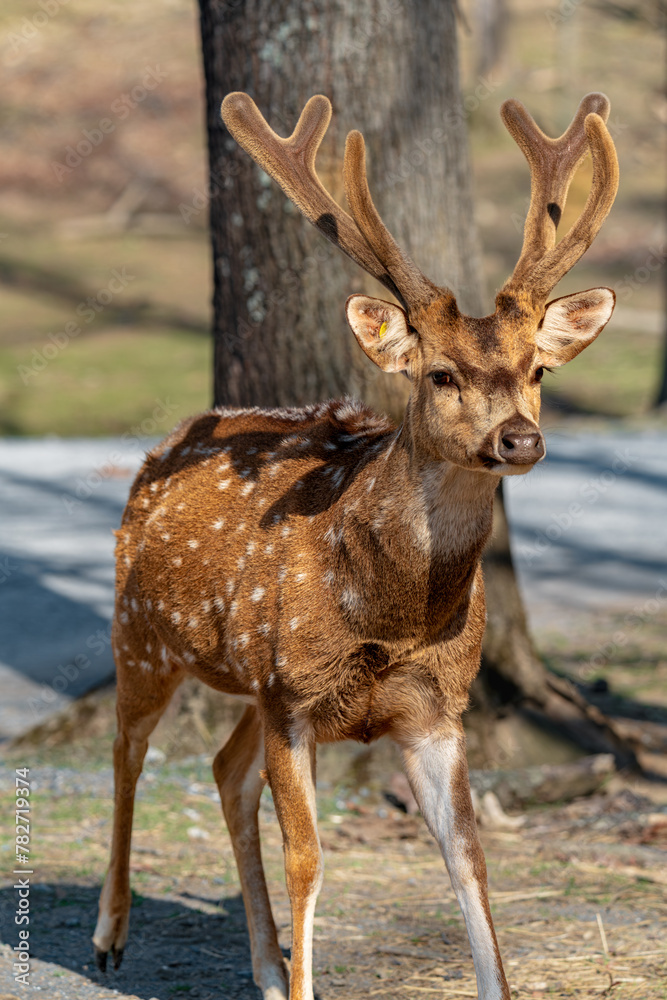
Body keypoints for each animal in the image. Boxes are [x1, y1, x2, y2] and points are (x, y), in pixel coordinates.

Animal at [93, 89, 618, 1000]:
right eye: (440, 373)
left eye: (538, 371)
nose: (519, 439)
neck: (388, 613)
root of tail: (170, 441)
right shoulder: (293, 696)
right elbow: (308, 860)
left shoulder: (433, 705)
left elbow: (469, 859)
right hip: (144, 631)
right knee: (127, 754)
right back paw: (110, 935)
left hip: (245, 679)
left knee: (224, 771)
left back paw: (266, 966)